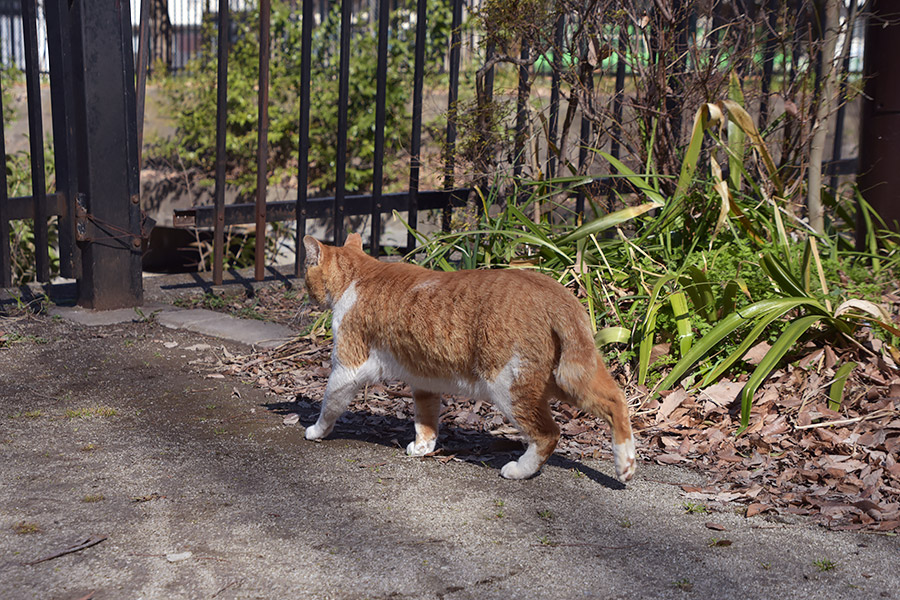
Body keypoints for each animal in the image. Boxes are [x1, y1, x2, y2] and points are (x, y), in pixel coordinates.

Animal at [306, 232, 636, 480]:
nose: (306, 295)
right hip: (565, 378)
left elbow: (330, 402)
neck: (361, 275)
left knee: (549, 433)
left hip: (509, 386)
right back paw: (626, 465)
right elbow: (425, 419)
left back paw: (520, 470)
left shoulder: (348, 366)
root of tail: (555, 293)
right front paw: (423, 447)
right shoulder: (425, 380)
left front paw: (316, 430)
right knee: (615, 402)